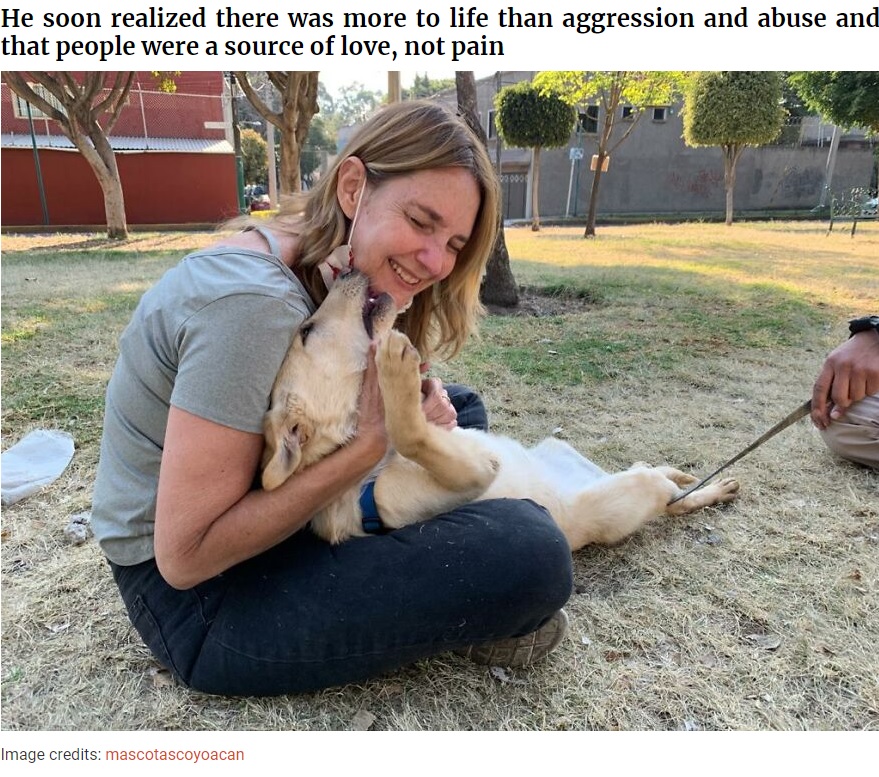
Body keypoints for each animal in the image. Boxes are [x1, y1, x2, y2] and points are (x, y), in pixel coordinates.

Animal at [262, 270, 744, 548]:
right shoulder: (468, 473)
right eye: (306, 331)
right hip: (627, 493)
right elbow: (411, 432)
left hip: (562, 449)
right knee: (669, 497)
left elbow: (418, 428)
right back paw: (708, 489)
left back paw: (692, 476)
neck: (374, 468)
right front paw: (396, 371)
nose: (349, 267)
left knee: (656, 473)